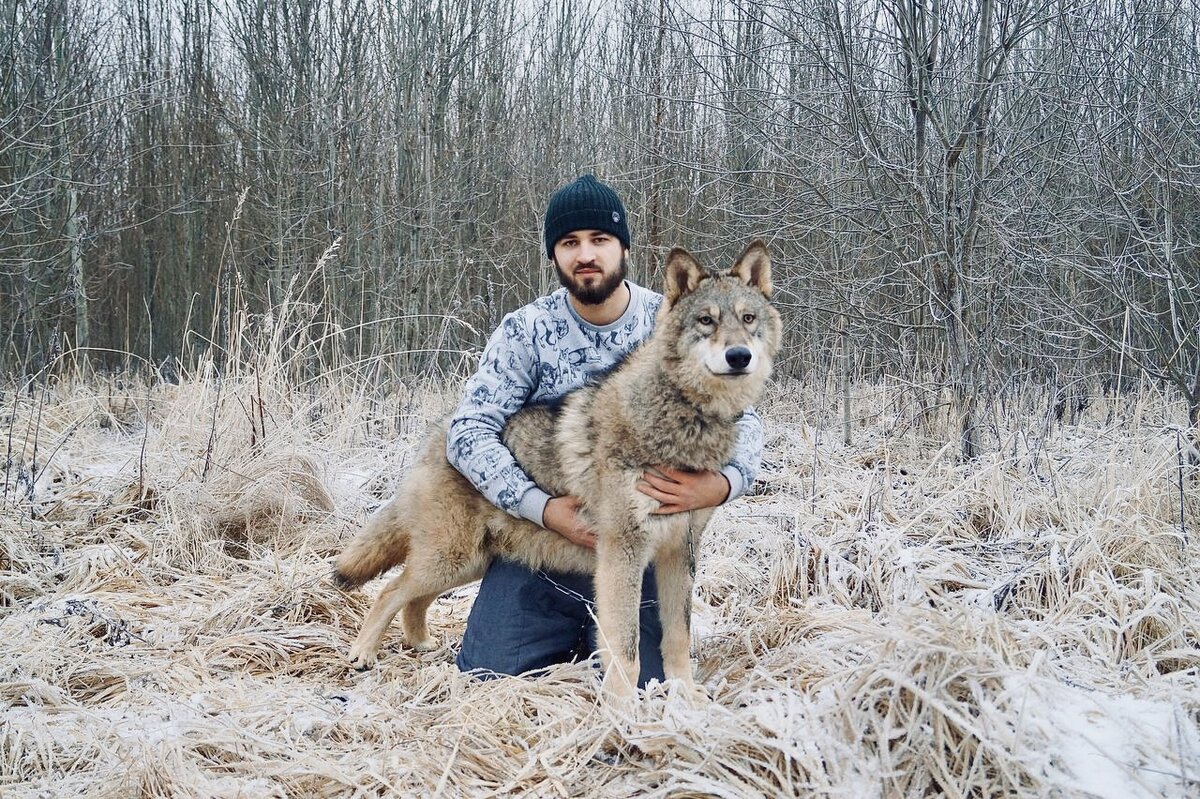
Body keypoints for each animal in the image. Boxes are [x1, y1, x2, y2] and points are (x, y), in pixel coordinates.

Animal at [333, 239, 782, 695]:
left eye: (748, 319)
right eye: (706, 320)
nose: (739, 356)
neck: (682, 419)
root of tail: (439, 432)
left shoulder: (679, 553)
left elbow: (677, 640)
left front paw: (687, 699)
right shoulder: (623, 552)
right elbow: (626, 652)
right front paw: (623, 710)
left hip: (464, 564)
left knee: (412, 598)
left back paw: (421, 643)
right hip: (450, 559)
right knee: (390, 590)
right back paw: (362, 654)